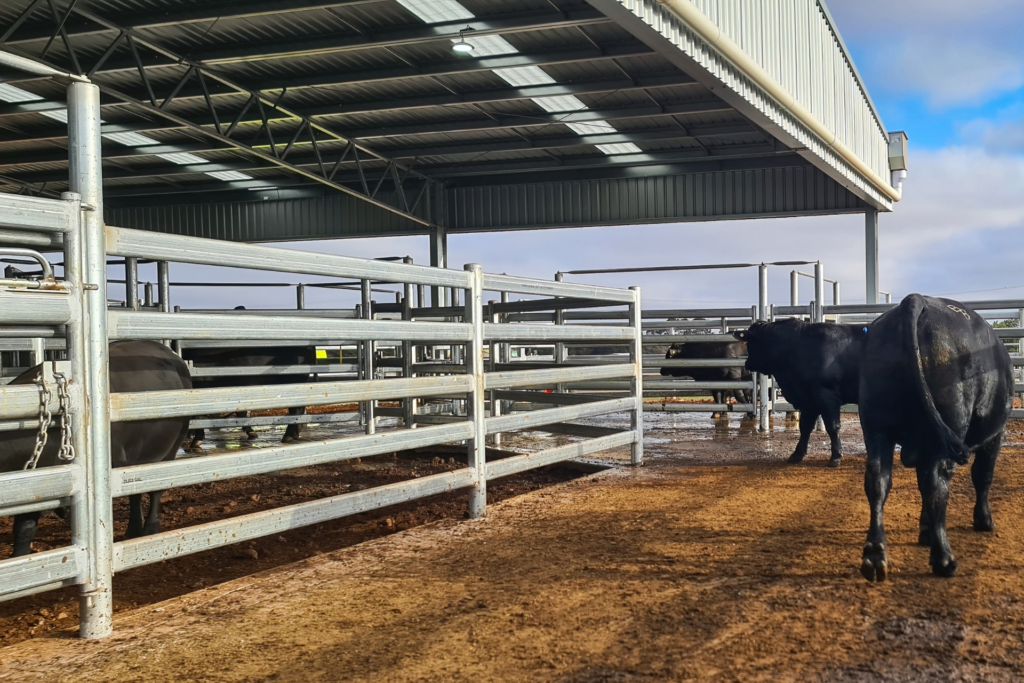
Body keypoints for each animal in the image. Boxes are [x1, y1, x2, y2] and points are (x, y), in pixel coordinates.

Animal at [0, 339, 190, 557]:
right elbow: (24, 529)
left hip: (169, 450)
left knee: (155, 491)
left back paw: (150, 529)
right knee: (135, 492)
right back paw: (133, 530)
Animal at [733, 321, 868, 471]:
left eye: (750, 343)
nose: (747, 363)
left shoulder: (827, 396)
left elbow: (833, 427)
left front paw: (835, 457)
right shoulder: (809, 400)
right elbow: (805, 427)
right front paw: (797, 454)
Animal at [860, 294, 1011, 581]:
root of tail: (916, 300)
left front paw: (925, 531)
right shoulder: (994, 436)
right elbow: (983, 476)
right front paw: (984, 520)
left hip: (877, 429)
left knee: (878, 482)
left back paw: (874, 556)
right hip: (946, 435)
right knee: (936, 484)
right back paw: (944, 559)